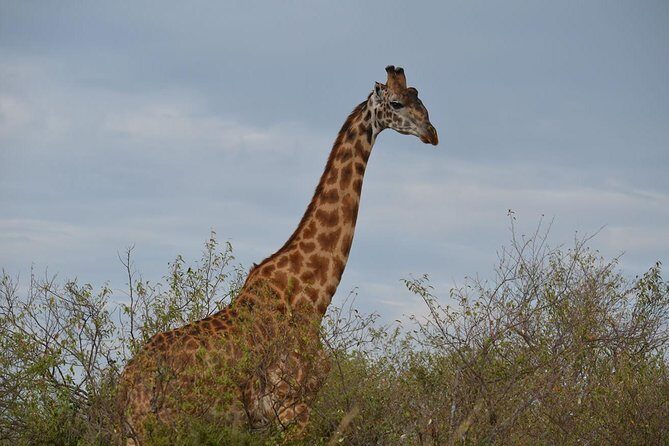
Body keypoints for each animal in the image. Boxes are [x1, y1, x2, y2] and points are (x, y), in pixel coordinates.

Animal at [116, 65, 438, 443]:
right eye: (398, 103)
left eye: (419, 96)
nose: (432, 133)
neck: (312, 296)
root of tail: (125, 385)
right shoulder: (291, 407)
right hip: (163, 427)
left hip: (132, 431)